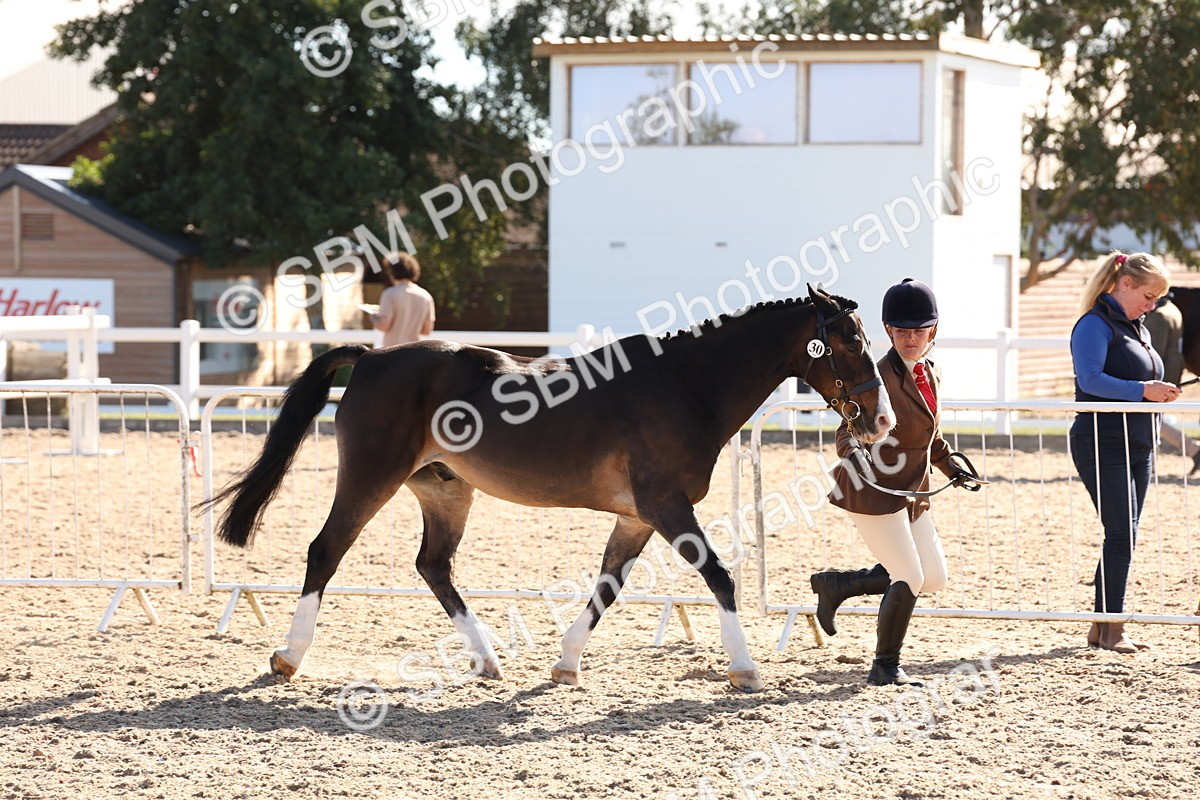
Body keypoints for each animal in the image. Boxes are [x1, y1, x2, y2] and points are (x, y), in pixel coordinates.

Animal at [205, 284, 894, 692]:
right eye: (848, 342)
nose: (881, 421)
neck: (686, 384)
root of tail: (374, 359)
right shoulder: (668, 508)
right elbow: (720, 578)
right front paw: (745, 668)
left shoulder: (639, 517)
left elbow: (608, 587)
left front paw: (565, 664)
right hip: (370, 478)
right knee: (326, 551)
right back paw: (288, 657)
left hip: (445, 491)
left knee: (433, 566)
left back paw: (486, 660)